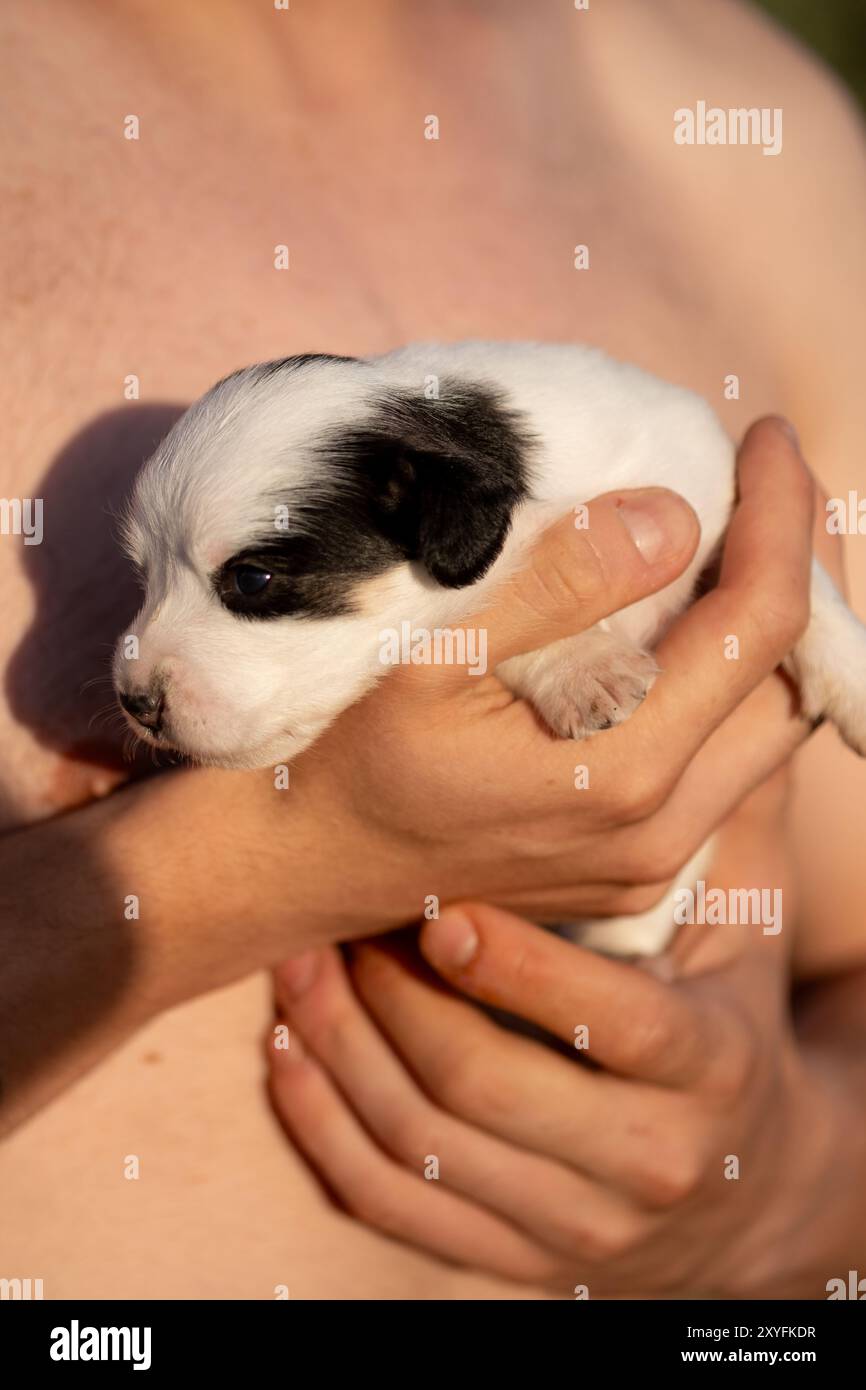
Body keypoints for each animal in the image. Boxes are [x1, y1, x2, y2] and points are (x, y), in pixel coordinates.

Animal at [113, 341, 866, 961]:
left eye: (252, 580)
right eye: (143, 578)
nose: (134, 700)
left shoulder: (710, 491)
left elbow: (811, 590)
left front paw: (853, 678)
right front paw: (583, 665)